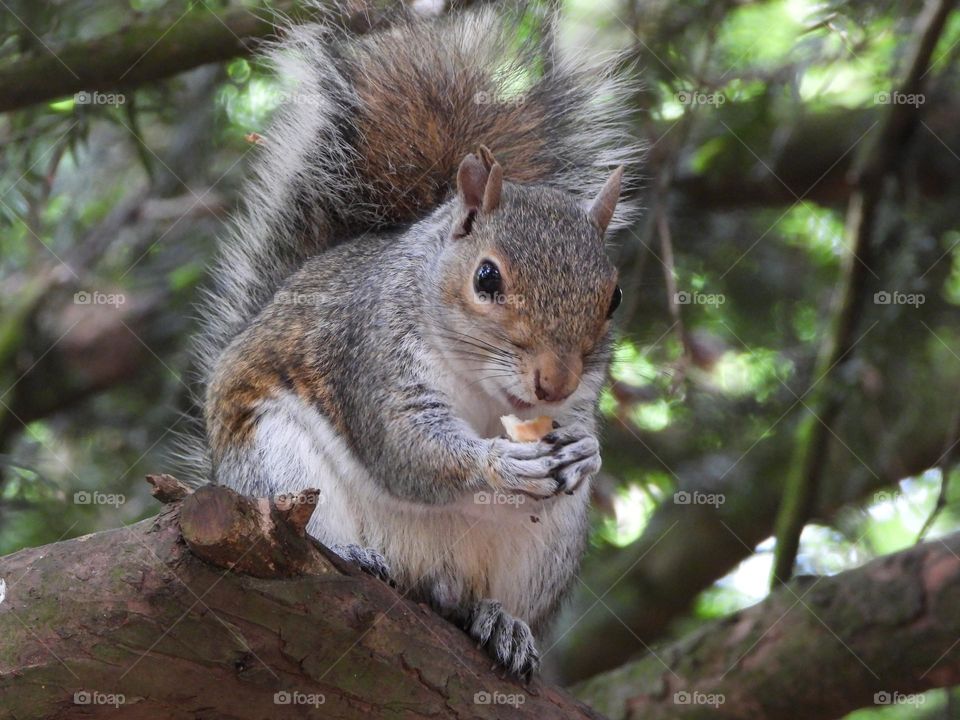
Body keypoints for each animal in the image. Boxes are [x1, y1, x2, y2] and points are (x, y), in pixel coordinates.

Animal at [190, 3, 638, 678]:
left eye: (612, 297)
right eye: (487, 277)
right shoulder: (373, 355)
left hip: (547, 546)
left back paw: (499, 620)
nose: (553, 383)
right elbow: (407, 447)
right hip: (273, 462)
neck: (483, 386)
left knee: (474, 600)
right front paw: (497, 463)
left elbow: (581, 430)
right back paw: (353, 552)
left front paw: (586, 452)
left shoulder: (582, 396)